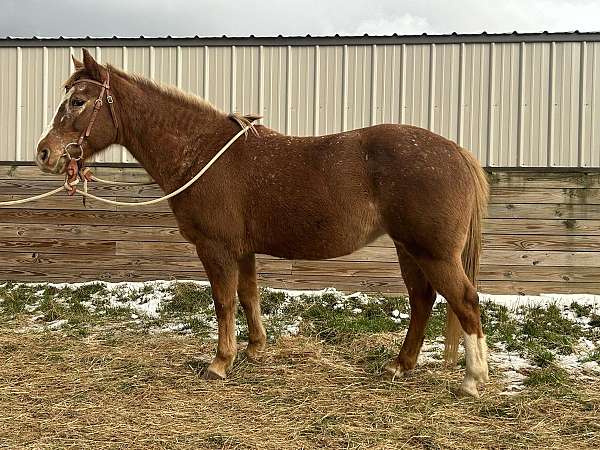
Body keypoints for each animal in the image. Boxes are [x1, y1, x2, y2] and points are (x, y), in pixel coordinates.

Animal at [35, 50, 490, 398]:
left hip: (432, 252)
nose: (44, 153)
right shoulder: (244, 250)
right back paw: (400, 366)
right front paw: (254, 350)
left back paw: (472, 380)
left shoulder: (215, 248)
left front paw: (220, 362)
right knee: (422, 300)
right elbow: (249, 296)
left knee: (465, 302)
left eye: (78, 101)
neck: (202, 153)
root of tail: (456, 152)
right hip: (408, 248)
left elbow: (223, 301)